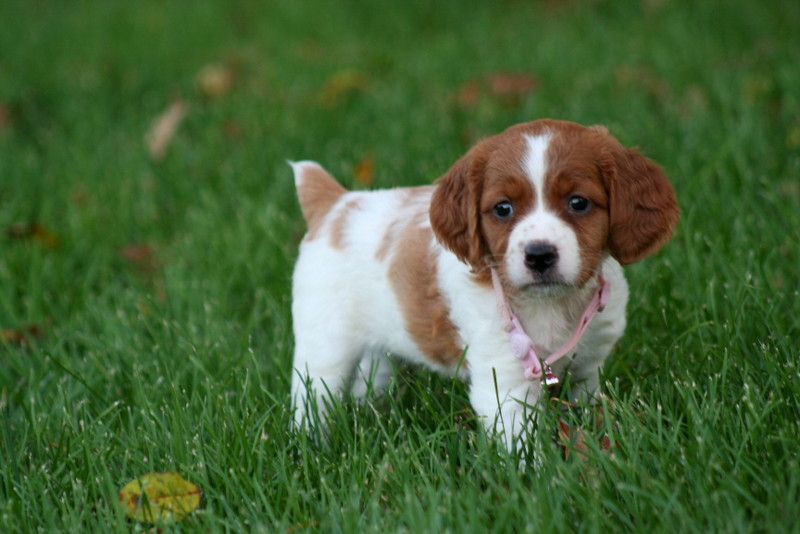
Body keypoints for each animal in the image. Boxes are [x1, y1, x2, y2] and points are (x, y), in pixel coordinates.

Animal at [290, 120, 680, 452]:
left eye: (578, 202)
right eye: (503, 208)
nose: (539, 255)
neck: (551, 305)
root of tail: (336, 203)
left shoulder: (587, 369)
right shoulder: (503, 384)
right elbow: (522, 447)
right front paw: (536, 482)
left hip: (381, 345)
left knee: (371, 379)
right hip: (324, 344)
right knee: (312, 396)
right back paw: (310, 444)